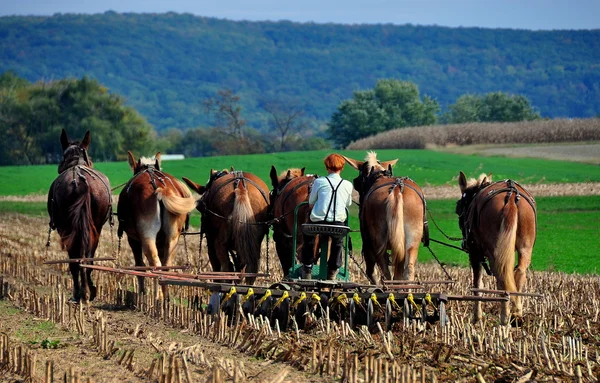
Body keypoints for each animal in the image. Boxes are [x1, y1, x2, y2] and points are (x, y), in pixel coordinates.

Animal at [47, 130, 112, 304]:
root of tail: (80, 181)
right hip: (94, 229)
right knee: (86, 258)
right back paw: (87, 291)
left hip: (69, 229)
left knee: (77, 260)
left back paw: (81, 292)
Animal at [115, 151, 195, 300]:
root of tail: (160, 187)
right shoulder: (161, 241)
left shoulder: (133, 240)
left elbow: (139, 265)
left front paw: (142, 293)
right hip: (173, 237)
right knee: (166, 266)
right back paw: (165, 298)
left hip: (147, 236)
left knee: (155, 264)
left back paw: (156, 297)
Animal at [342, 153, 426, 284]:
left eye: (356, 183)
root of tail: (396, 190)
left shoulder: (367, 244)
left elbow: (371, 272)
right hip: (412, 240)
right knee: (407, 271)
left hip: (377, 243)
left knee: (385, 273)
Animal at [458, 172, 536, 326]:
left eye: (459, 207)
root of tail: (511, 196)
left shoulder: (475, 252)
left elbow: (477, 284)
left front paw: (477, 317)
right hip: (525, 247)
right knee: (519, 273)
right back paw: (516, 315)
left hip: (492, 251)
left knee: (501, 277)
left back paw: (504, 318)